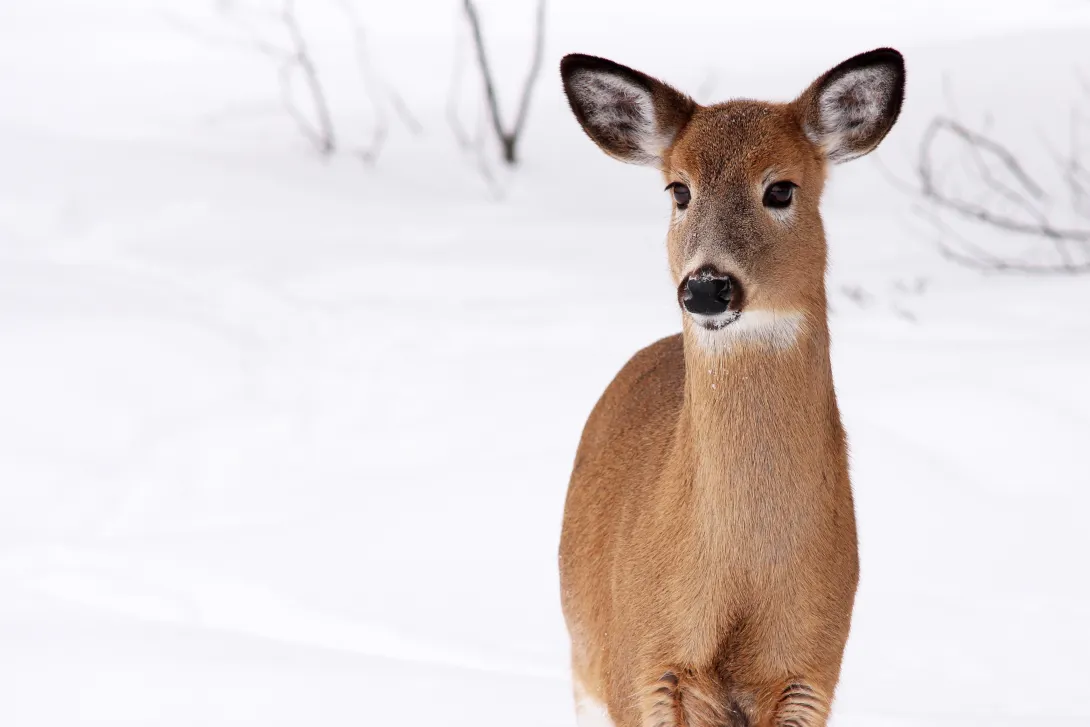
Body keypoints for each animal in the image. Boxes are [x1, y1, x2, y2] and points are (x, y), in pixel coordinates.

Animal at [557, 48, 905, 727]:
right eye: (679, 189)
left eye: (780, 189)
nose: (706, 287)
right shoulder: (642, 671)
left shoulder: (809, 674)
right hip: (586, 664)